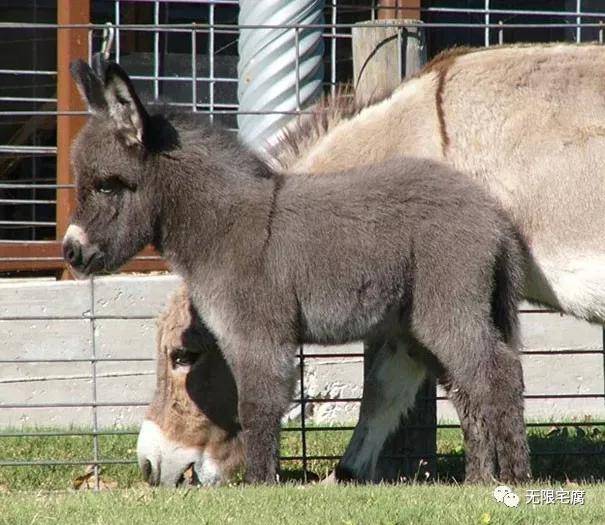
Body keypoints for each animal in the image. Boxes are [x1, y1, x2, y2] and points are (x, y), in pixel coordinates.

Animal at [63, 58, 528, 484]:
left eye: (107, 185)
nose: (70, 252)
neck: (222, 225)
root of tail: (493, 215)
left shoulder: (256, 333)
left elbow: (257, 406)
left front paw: (261, 485)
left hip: (448, 307)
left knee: (498, 375)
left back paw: (516, 477)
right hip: (425, 319)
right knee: (468, 389)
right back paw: (479, 480)